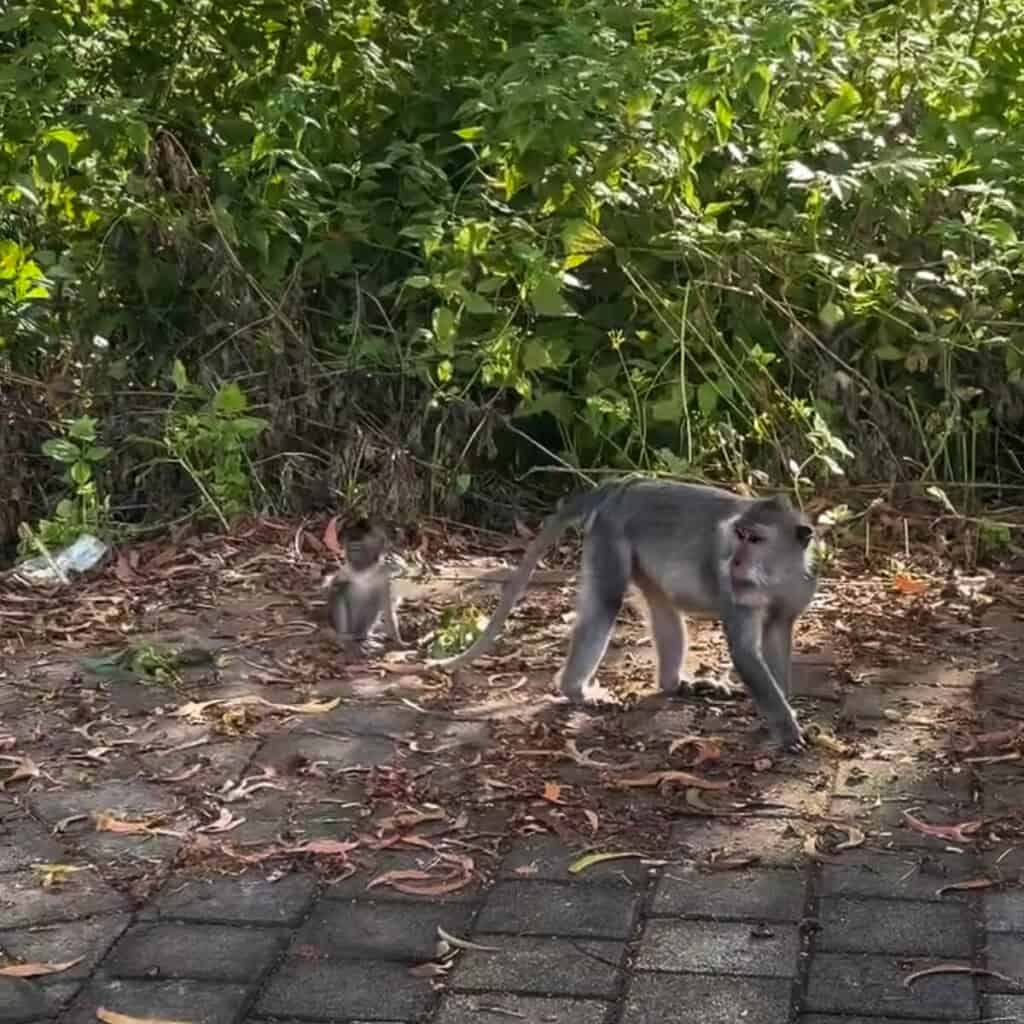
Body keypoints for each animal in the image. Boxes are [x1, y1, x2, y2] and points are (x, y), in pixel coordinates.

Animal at [323, 518, 403, 647]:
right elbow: (334, 587)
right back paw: (343, 636)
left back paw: (364, 636)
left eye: (358, 548)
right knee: (340, 593)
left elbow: (387, 609)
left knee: (374, 601)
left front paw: (399, 641)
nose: (350, 554)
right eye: (351, 548)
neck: (365, 571)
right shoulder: (346, 570)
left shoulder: (384, 577)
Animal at [430, 478, 817, 751]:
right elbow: (745, 653)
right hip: (610, 538)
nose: (733, 562)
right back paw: (576, 691)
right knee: (605, 603)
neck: (775, 576)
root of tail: (622, 487)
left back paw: (676, 684)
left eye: (755, 540)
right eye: (739, 535)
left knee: (663, 609)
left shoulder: (799, 589)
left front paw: (780, 709)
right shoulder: (737, 593)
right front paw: (787, 728)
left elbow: (776, 638)